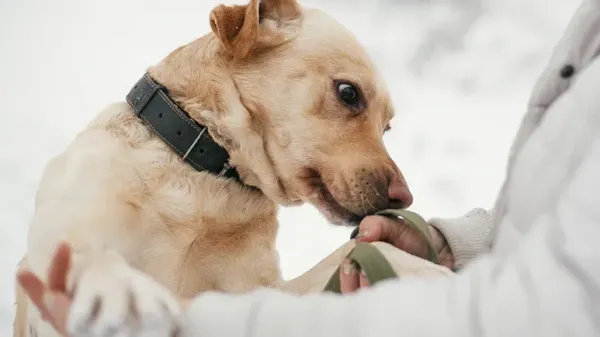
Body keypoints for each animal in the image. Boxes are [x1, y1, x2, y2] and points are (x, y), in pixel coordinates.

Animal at [10, 0, 432, 334]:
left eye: (387, 127)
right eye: (348, 93)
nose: (405, 198)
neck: (205, 178)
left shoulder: (258, 292)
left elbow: (353, 257)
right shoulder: (64, 234)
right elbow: (88, 254)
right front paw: (120, 289)